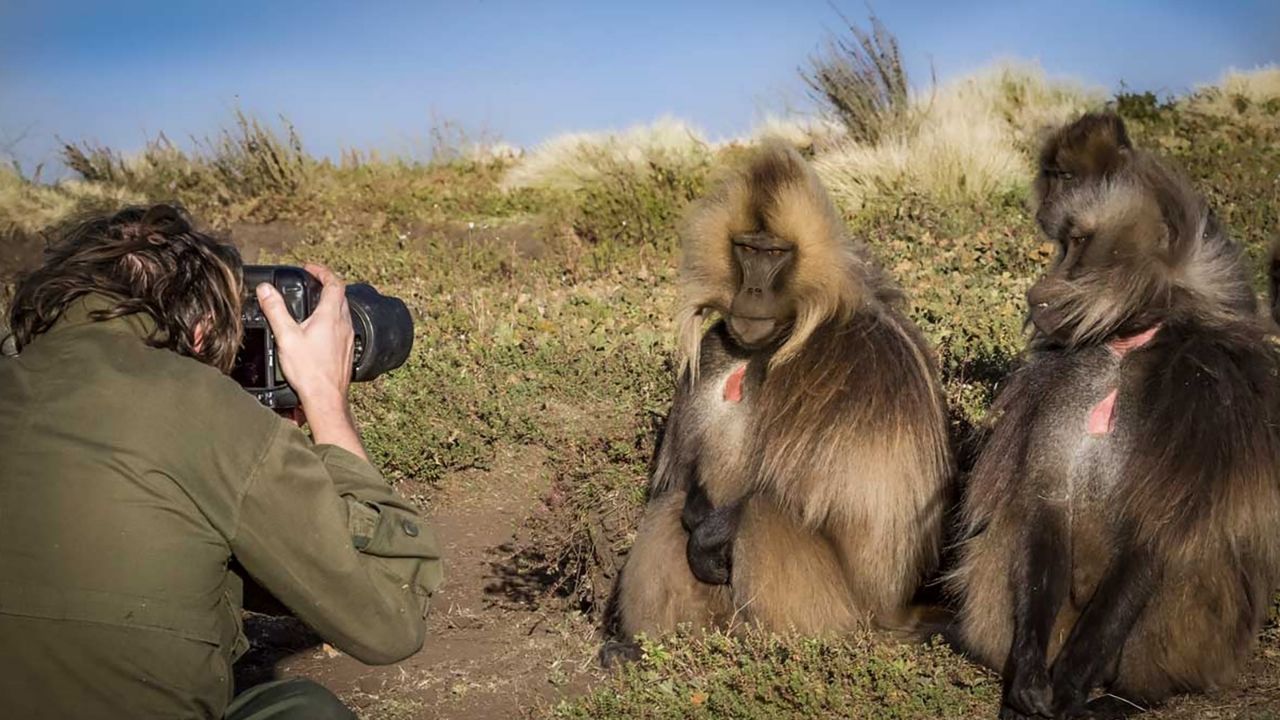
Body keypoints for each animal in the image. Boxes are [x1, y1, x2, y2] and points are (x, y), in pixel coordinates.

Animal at [602, 141, 954, 662]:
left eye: (775, 253)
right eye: (746, 249)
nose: (752, 291)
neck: (773, 341)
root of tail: (896, 615)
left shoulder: (840, 360)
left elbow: (818, 497)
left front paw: (710, 536)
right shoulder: (715, 346)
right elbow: (681, 480)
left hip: (844, 617)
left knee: (762, 513)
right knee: (672, 507)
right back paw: (646, 652)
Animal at [948, 112, 1280, 719]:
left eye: (1078, 242)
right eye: (1059, 243)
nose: (1039, 294)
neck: (1125, 347)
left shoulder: (1205, 400)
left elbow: (1158, 534)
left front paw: (1067, 687)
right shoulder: (1061, 390)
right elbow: (1044, 507)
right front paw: (1029, 682)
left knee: (1189, 562)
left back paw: (1119, 699)